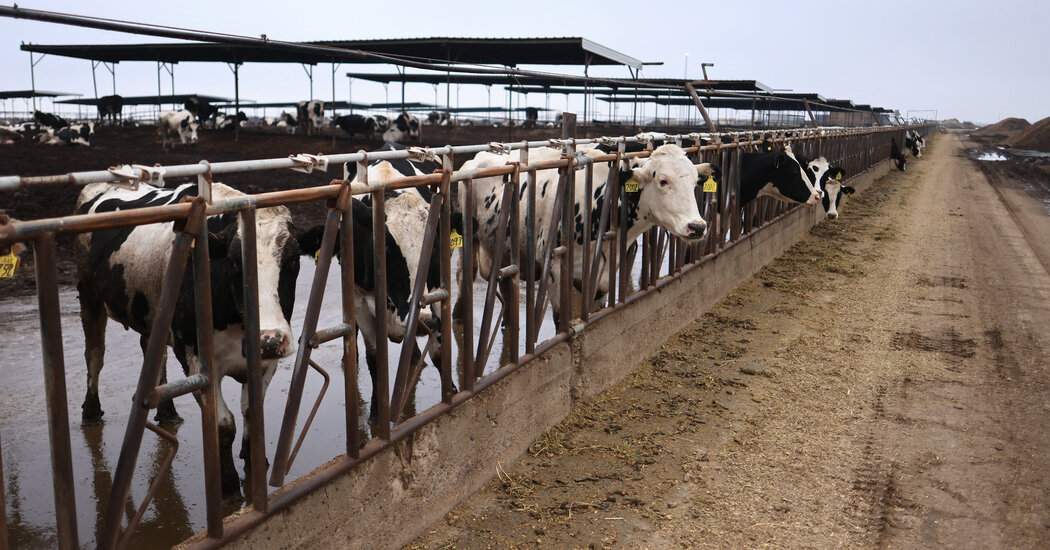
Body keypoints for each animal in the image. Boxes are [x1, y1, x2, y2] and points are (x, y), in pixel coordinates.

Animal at [76, 181, 300, 497]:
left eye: (293, 259)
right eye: (234, 262)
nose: (268, 339)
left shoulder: (268, 361)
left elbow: (252, 413)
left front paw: (255, 464)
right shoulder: (197, 362)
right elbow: (224, 426)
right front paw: (229, 487)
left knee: (152, 350)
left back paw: (167, 412)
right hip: (90, 298)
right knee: (94, 356)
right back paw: (92, 412)